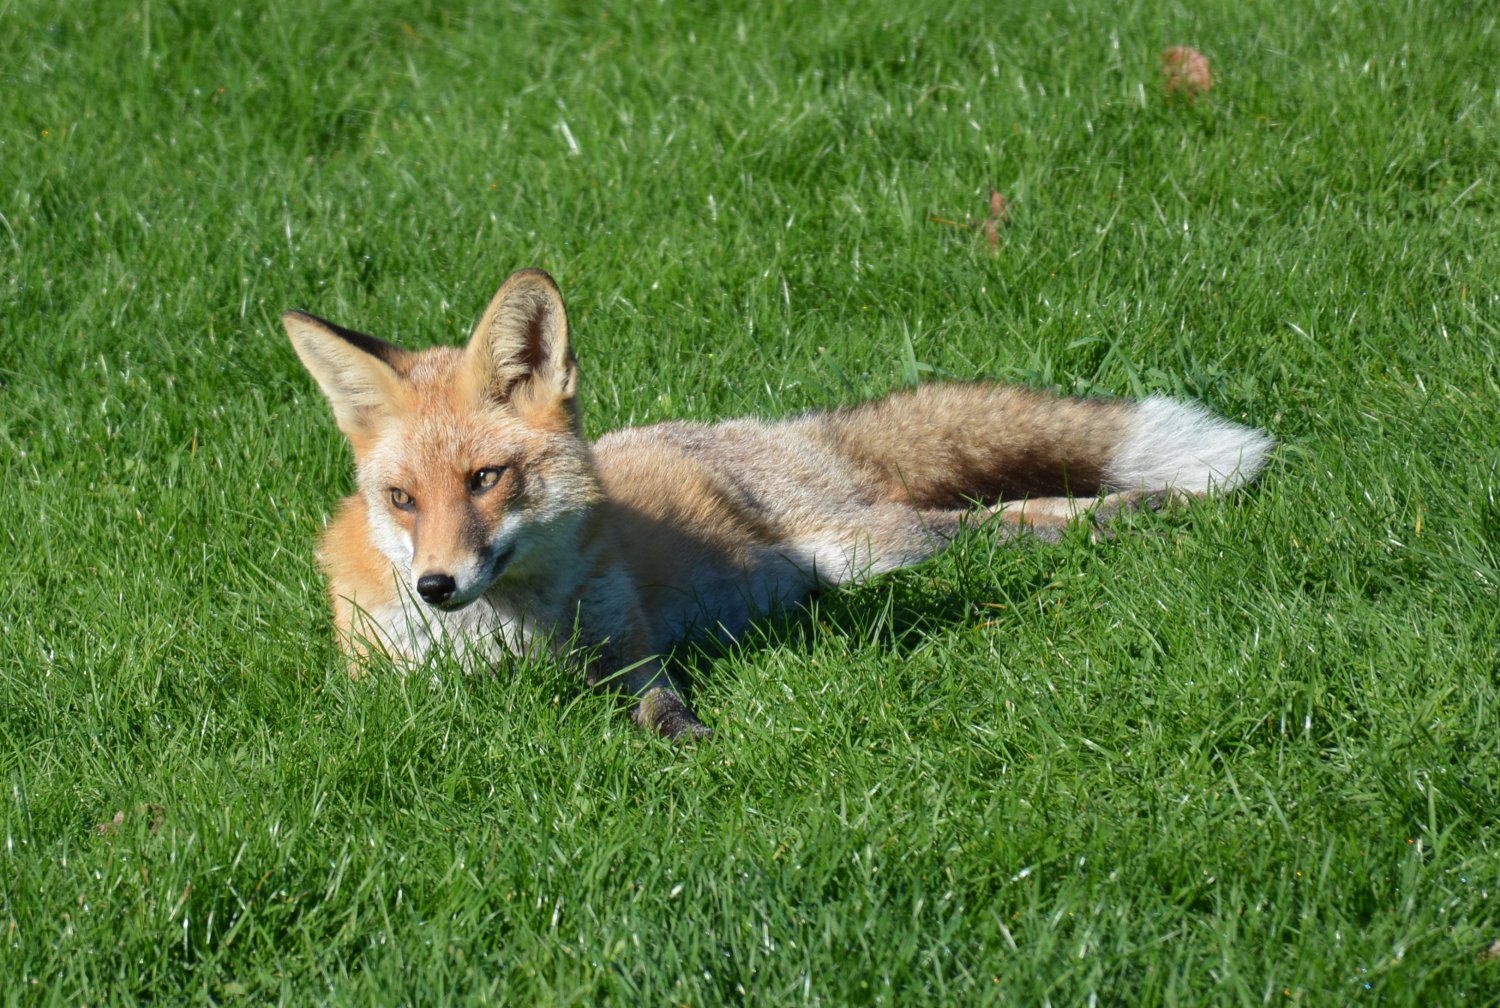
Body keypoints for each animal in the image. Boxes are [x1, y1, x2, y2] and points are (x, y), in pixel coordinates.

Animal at [279, 267, 1266, 741]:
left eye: (486, 480)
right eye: (401, 499)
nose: (437, 586)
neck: (515, 631)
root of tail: (786, 426)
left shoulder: (632, 644)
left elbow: (659, 704)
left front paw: (685, 738)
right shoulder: (402, 689)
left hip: (871, 544)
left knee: (1004, 522)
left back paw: (1148, 510)